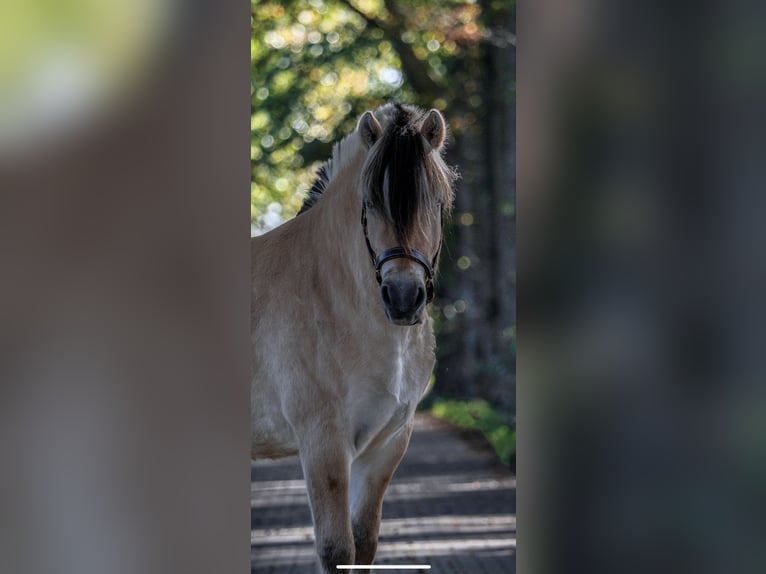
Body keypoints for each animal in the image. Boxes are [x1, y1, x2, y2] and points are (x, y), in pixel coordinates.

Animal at [252, 102, 460, 572]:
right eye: (370, 203)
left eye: (435, 202)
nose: (403, 297)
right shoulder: (324, 444)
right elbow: (337, 551)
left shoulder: (385, 446)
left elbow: (363, 545)